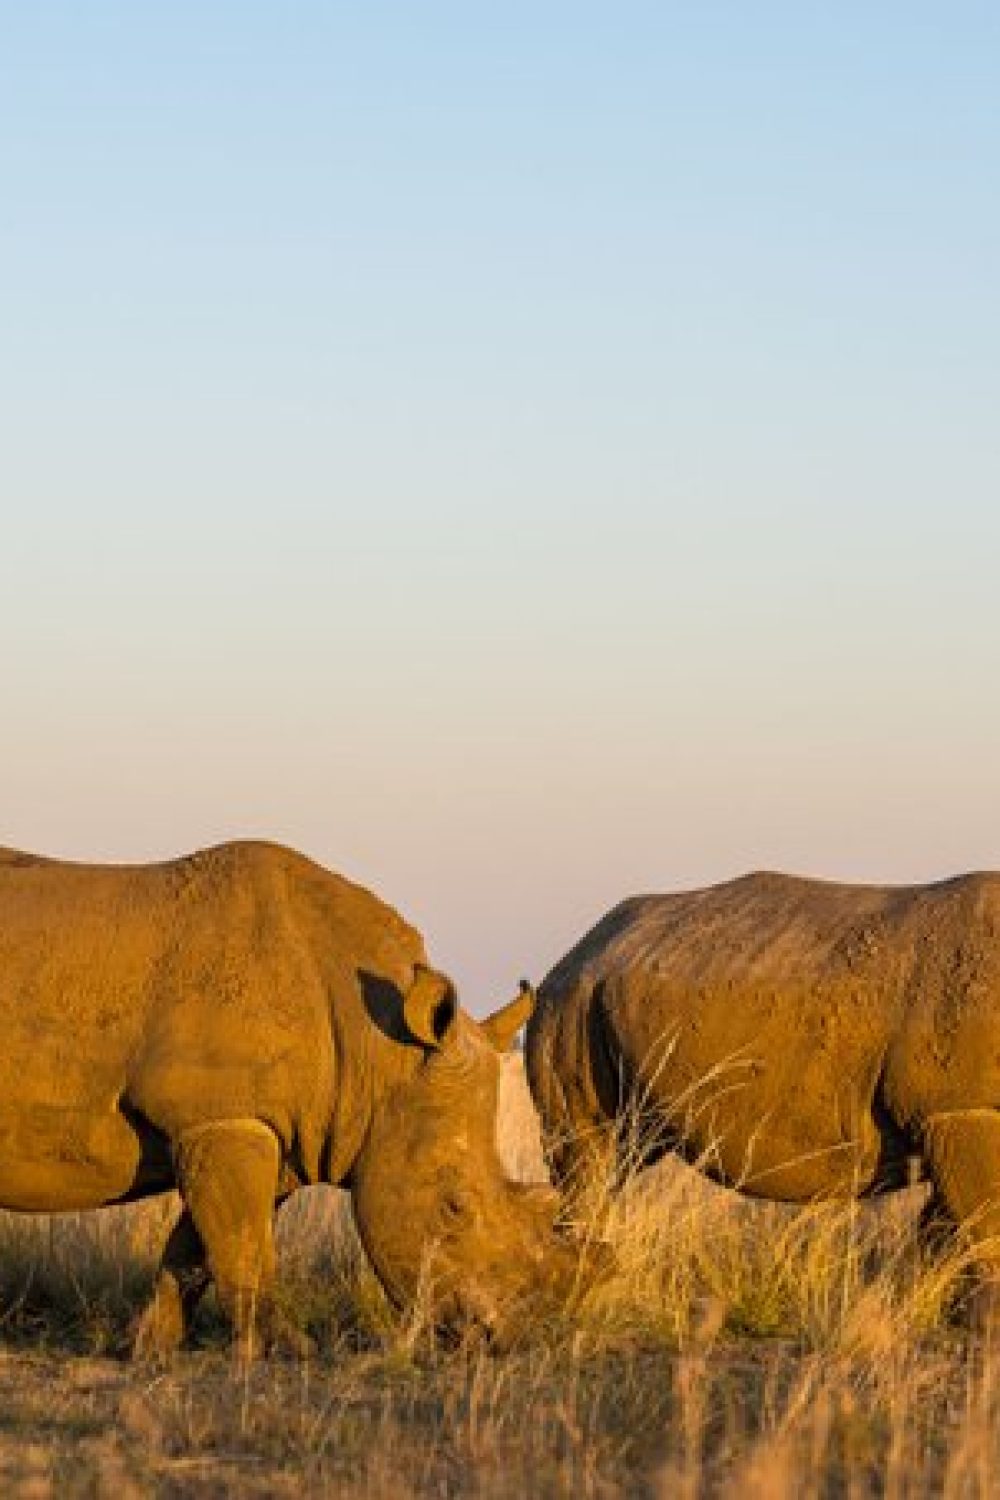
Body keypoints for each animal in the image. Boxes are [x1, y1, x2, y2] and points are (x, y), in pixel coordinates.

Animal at [0, 840, 583, 1357]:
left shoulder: (264, 1128)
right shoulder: (224, 1119)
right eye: (454, 1207)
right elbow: (244, 1245)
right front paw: (286, 1349)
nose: (501, 1340)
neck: (380, 1054)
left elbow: (199, 1247)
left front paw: (151, 1348)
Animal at [526, 871, 1000, 1275]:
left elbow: (950, 1235)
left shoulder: (955, 1114)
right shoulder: (956, 1109)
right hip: (570, 998)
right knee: (589, 1152)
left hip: (611, 994)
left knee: (624, 1152)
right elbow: (986, 1229)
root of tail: (581, 946)